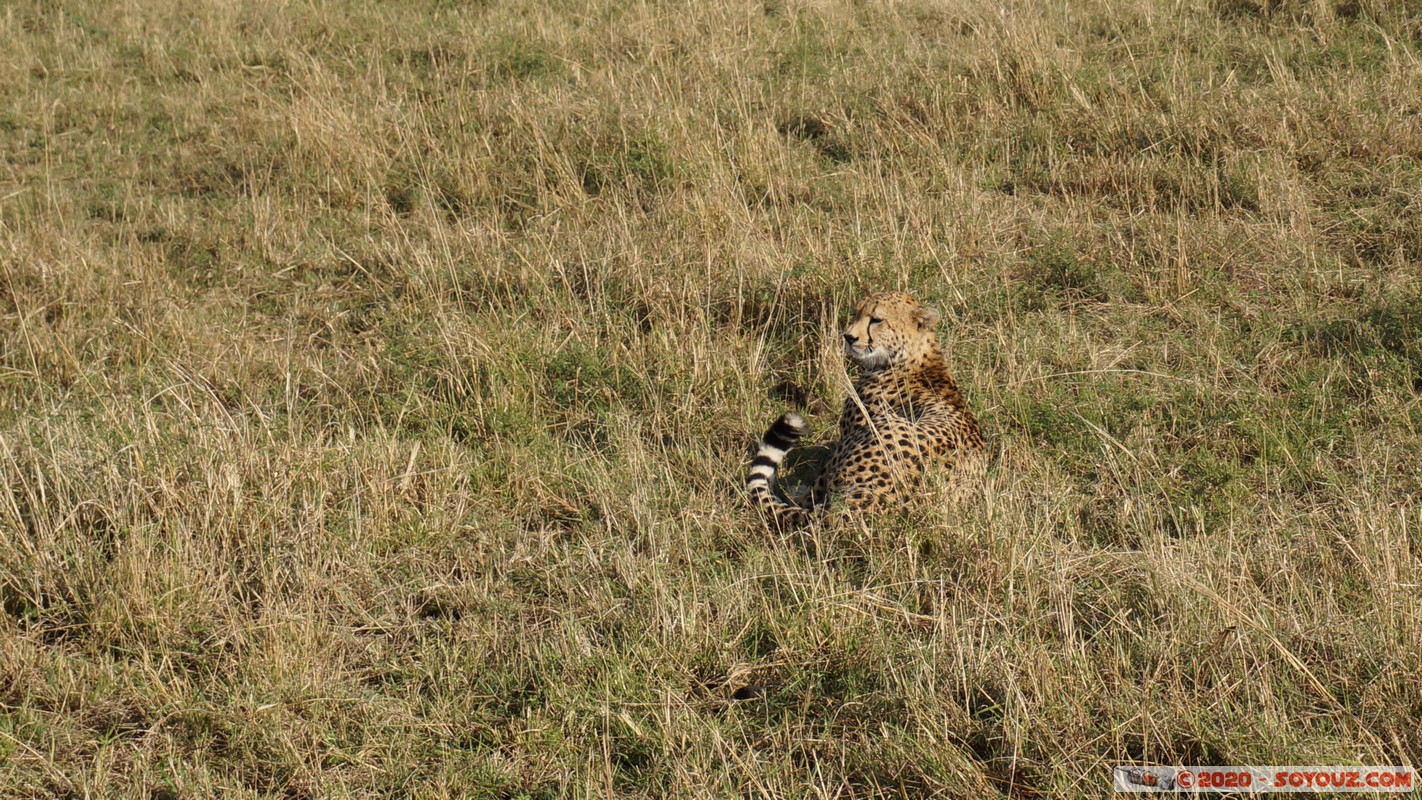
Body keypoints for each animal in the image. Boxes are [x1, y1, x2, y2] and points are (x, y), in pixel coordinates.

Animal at [745, 291, 989, 528]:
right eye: (856, 313)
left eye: (877, 320)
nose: (848, 337)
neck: (911, 357)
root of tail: (861, 505)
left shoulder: (847, 436)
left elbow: (817, 484)